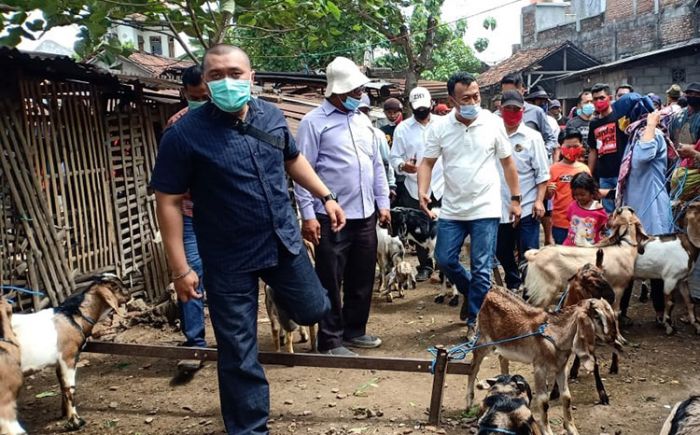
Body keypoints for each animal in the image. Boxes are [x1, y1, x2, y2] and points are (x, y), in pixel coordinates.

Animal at [11, 274, 130, 430]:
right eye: (114, 286)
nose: (129, 294)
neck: (73, 316)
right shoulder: (68, 357)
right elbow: (70, 388)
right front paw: (75, 422)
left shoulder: (59, 362)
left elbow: (62, 386)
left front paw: (64, 414)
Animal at [468, 286, 620, 435]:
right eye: (597, 317)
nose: (613, 338)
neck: (554, 336)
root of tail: (492, 290)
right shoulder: (539, 367)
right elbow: (543, 401)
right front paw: (547, 430)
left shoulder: (561, 368)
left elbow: (566, 397)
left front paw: (571, 428)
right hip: (483, 340)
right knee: (474, 366)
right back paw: (469, 401)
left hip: (504, 345)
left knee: (502, 358)